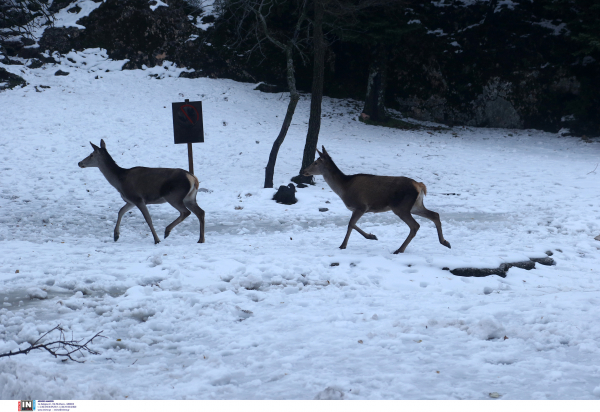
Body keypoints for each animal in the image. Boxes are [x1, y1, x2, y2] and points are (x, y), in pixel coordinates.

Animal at [302, 146, 452, 253]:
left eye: (315, 162)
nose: (303, 170)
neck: (344, 188)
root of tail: (420, 185)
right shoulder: (360, 208)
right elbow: (352, 224)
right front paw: (370, 236)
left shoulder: (361, 206)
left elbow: (350, 224)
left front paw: (344, 245)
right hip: (415, 205)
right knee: (435, 214)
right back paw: (445, 242)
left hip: (401, 207)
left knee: (415, 225)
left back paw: (399, 249)